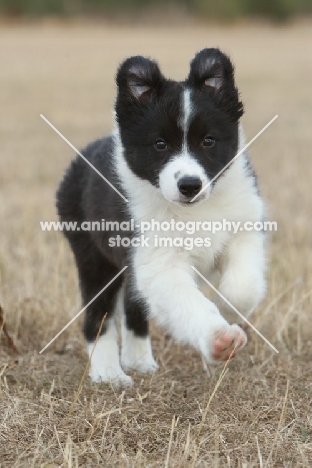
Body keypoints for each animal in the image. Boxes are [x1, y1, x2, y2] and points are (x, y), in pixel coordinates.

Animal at [56, 48, 266, 388]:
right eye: (160, 144)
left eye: (208, 141)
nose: (190, 185)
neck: (194, 211)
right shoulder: (158, 263)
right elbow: (187, 301)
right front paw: (219, 339)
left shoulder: (244, 229)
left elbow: (244, 286)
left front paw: (227, 308)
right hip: (93, 256)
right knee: (97, 316)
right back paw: (109, 373)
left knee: (133, 306)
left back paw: (139, 361)